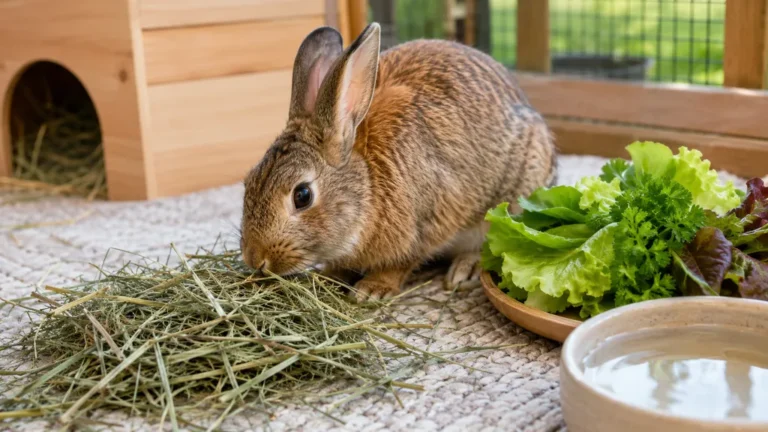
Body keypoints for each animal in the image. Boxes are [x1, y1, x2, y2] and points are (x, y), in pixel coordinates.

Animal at [240, 22, 557, 302]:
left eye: (302, 196)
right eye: (248, 181)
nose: (255, 259)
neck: (367, 182)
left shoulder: (427, 222)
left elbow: (401, 263)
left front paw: (372, 289)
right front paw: (329, 276)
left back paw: (464, 271)